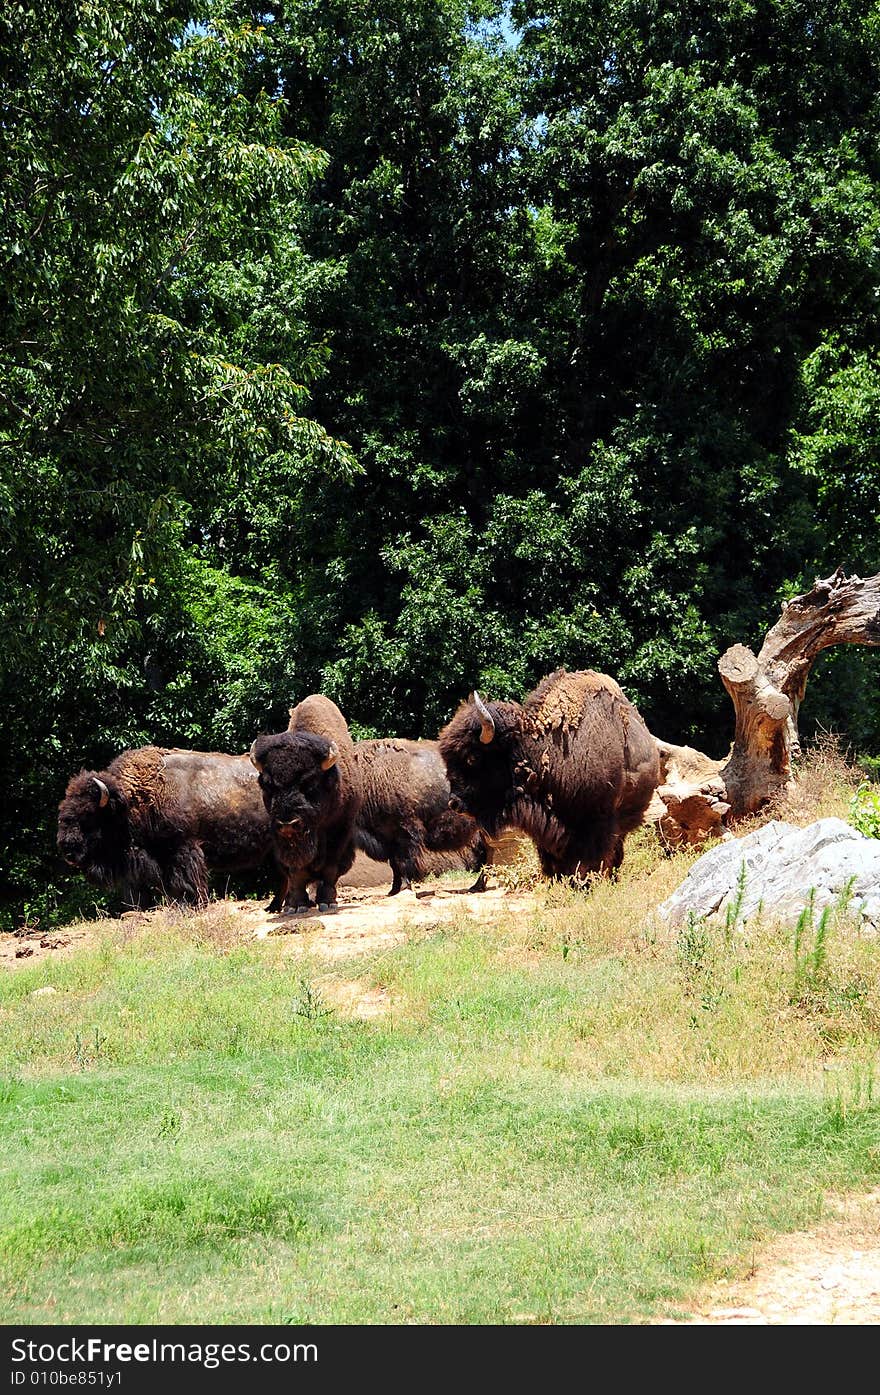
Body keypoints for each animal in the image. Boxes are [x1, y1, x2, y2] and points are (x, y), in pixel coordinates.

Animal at [56, 747, 284, 909]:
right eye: (64, 810)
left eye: (88, 815)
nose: (68, 851)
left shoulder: (183, 848)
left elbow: (185, 879)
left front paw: (192, 903)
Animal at [248, 691, 362, 909]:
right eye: (267, 784)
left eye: (310, 783)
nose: (288, 824)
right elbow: (297, 871)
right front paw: (296, 905)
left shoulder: (339, 831)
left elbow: (330, 868)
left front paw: (327, 902)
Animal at [352, 742, 488, 892]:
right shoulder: (389, 838)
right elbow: (394, 865)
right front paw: (393, 890)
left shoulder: (405, 832)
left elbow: (403, 862)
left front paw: (404, 887)